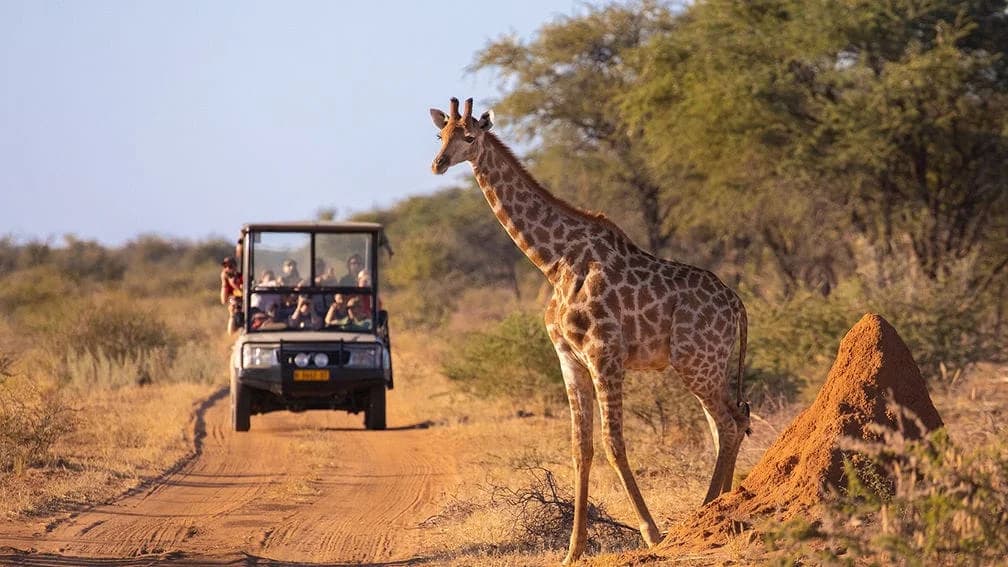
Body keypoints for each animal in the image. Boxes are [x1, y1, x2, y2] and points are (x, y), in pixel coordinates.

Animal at [430, 97, 750, 564]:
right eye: (440, 135)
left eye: (469, 137)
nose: (437, 164)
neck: (553, 262)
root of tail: (738, 304)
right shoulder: (570, 359)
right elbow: (581, 448)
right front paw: (573, 549)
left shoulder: (604, 354)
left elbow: (613, 443)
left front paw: (652, 534)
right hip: (712, 363)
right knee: (732, 420)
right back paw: (721, 505)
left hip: (696, 362)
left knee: (727, 423)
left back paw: (707, 510)